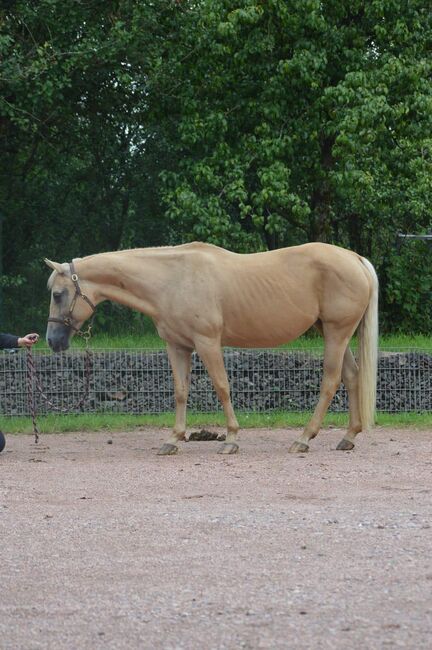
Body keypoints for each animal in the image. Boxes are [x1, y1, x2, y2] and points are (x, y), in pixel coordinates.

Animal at [46, 240, 378, 454]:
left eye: (58, 294)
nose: (52, 340)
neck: (172, 280)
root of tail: (355, 259)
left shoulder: (207, 343)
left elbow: (222, 387)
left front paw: (231, 439)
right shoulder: (177, 346)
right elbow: (181, 392)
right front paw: (173, 439)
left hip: (336, 333)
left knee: (330, 381)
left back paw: (304, 439)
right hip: (333, 333)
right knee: (351, 376)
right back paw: (348, 437)